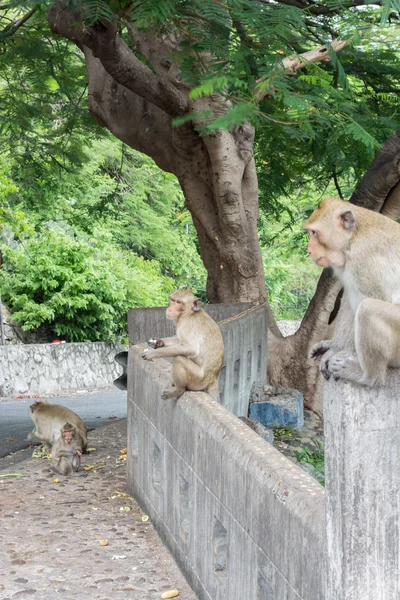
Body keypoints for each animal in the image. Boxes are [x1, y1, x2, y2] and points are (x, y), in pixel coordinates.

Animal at [304, 195, 400, 386]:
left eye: (314, 233)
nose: (309, 250)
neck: (353, 238)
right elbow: (349, 299)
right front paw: (333, 346)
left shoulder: (364, 259)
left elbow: (367, 298)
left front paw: (342, 352)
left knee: (368, 308)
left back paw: (368, 376)